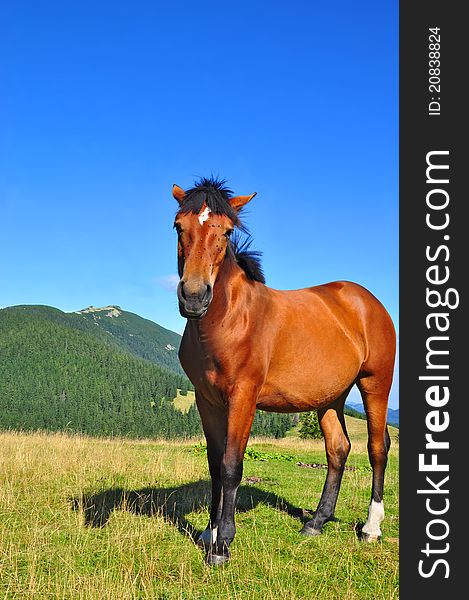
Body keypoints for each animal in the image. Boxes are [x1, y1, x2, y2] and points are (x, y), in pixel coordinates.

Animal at [170, 176, 394, 564]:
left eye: (227, 231)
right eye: (178, 226)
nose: (194, 297)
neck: (229, 321)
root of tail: (367, 301)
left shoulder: (243, 397)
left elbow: (231, 466)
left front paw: (222, 545)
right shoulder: (206, 400)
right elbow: (214, 464)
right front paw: (208, 533)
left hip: (375, 384)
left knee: (377, 448)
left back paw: (371, 528)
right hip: (330, 397)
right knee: (338, 449)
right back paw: (316, 523)